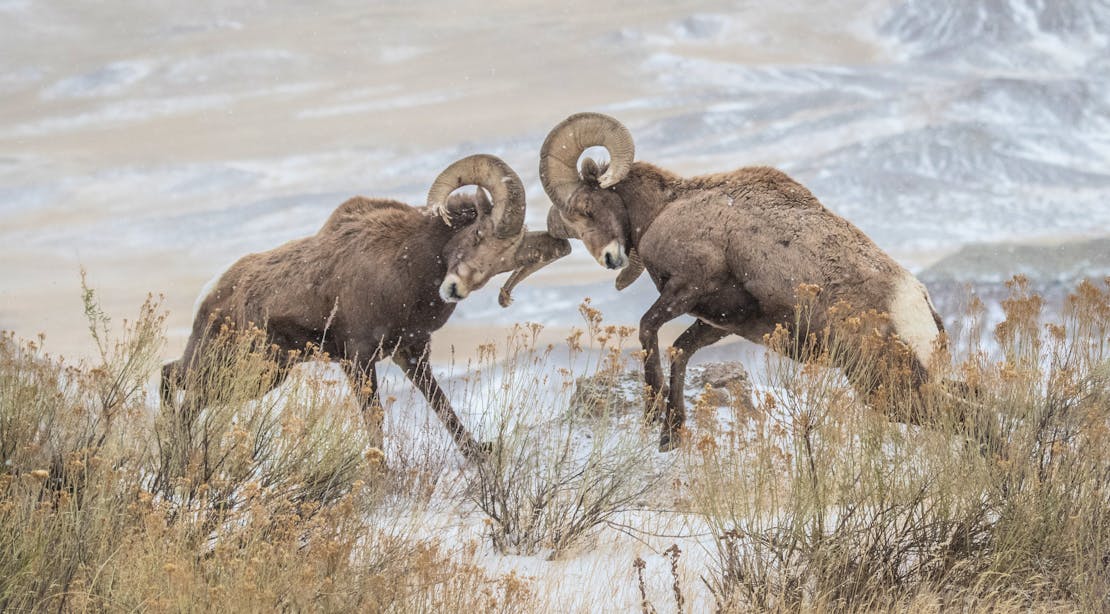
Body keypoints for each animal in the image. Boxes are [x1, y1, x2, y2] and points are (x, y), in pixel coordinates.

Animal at [161, 154, 571, 459]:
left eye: (503, 262)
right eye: (478, 234)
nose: (454, 289)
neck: (407, 268)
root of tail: (213, 293)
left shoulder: (411, 354)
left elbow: (441, 406)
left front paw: (479, 455)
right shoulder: (358, 358)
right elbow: (374, 419)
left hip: (259, 375)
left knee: (183, 396)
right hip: (237, 368)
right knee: (171, 379)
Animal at [524, 112, 948, 450]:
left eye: (586, 208)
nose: (610, 259)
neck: (666, 209)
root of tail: (920, 304)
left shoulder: (688, 287)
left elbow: (647, 329)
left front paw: (653, 413)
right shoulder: (720, 323)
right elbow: (680, 352)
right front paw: (671, 434)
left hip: (885, 384)